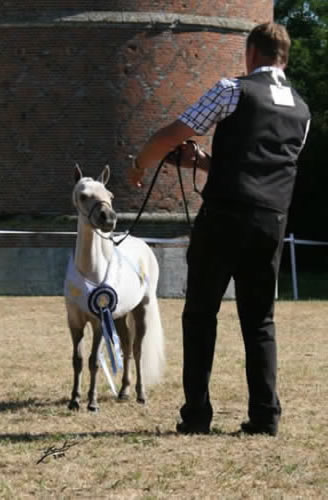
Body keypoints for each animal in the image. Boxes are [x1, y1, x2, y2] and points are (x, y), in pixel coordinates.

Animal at [64, 166, 165, 412]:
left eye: (110, 195)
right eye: (83, 196)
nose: (109, 219)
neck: (91, 271)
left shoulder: (99, 321)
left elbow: (93, 360)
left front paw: (92, 402)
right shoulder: (75, 322)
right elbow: (78, 360)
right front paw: (74, 400)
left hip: (142, 309)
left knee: (137, 350)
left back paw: (140, 394)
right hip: (119, 316)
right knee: (126, 348)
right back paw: (124, 391)